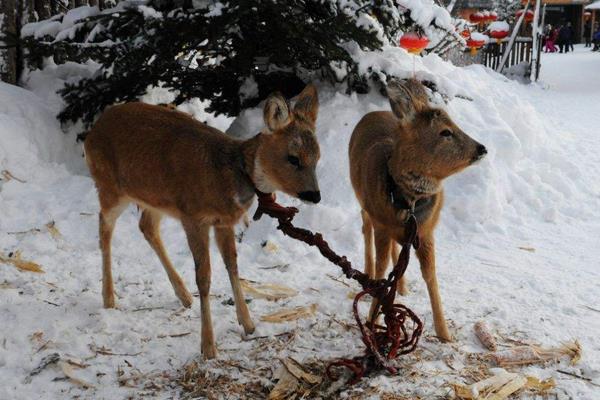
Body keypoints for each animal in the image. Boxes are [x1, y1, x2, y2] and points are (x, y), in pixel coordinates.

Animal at [83, 85, 324, 360]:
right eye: (293, 158)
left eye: (317, 157)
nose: (314, 195)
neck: (230, 173)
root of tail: (95, 128)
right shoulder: (194, 217)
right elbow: (204, 277)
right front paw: (208, 346)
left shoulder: (222, 222)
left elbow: (233, 266)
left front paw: (249, 324)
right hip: (110, 187)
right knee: (104, 228)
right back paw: (109, 298)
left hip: (156, 199)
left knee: (146, 226)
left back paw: (184, 296)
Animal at [350, 79, 486, 342]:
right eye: (445, 132)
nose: (482, 148)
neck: (409, 202)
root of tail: (373, 113)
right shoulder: (382, 223)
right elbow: (382, 268)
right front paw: (373, 320)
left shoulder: (426, 231)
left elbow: (430, 275)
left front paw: (444, 333)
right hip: (361, 200)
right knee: (365, 230)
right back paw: (368, 276)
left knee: (397, 251)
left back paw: (401, 287)